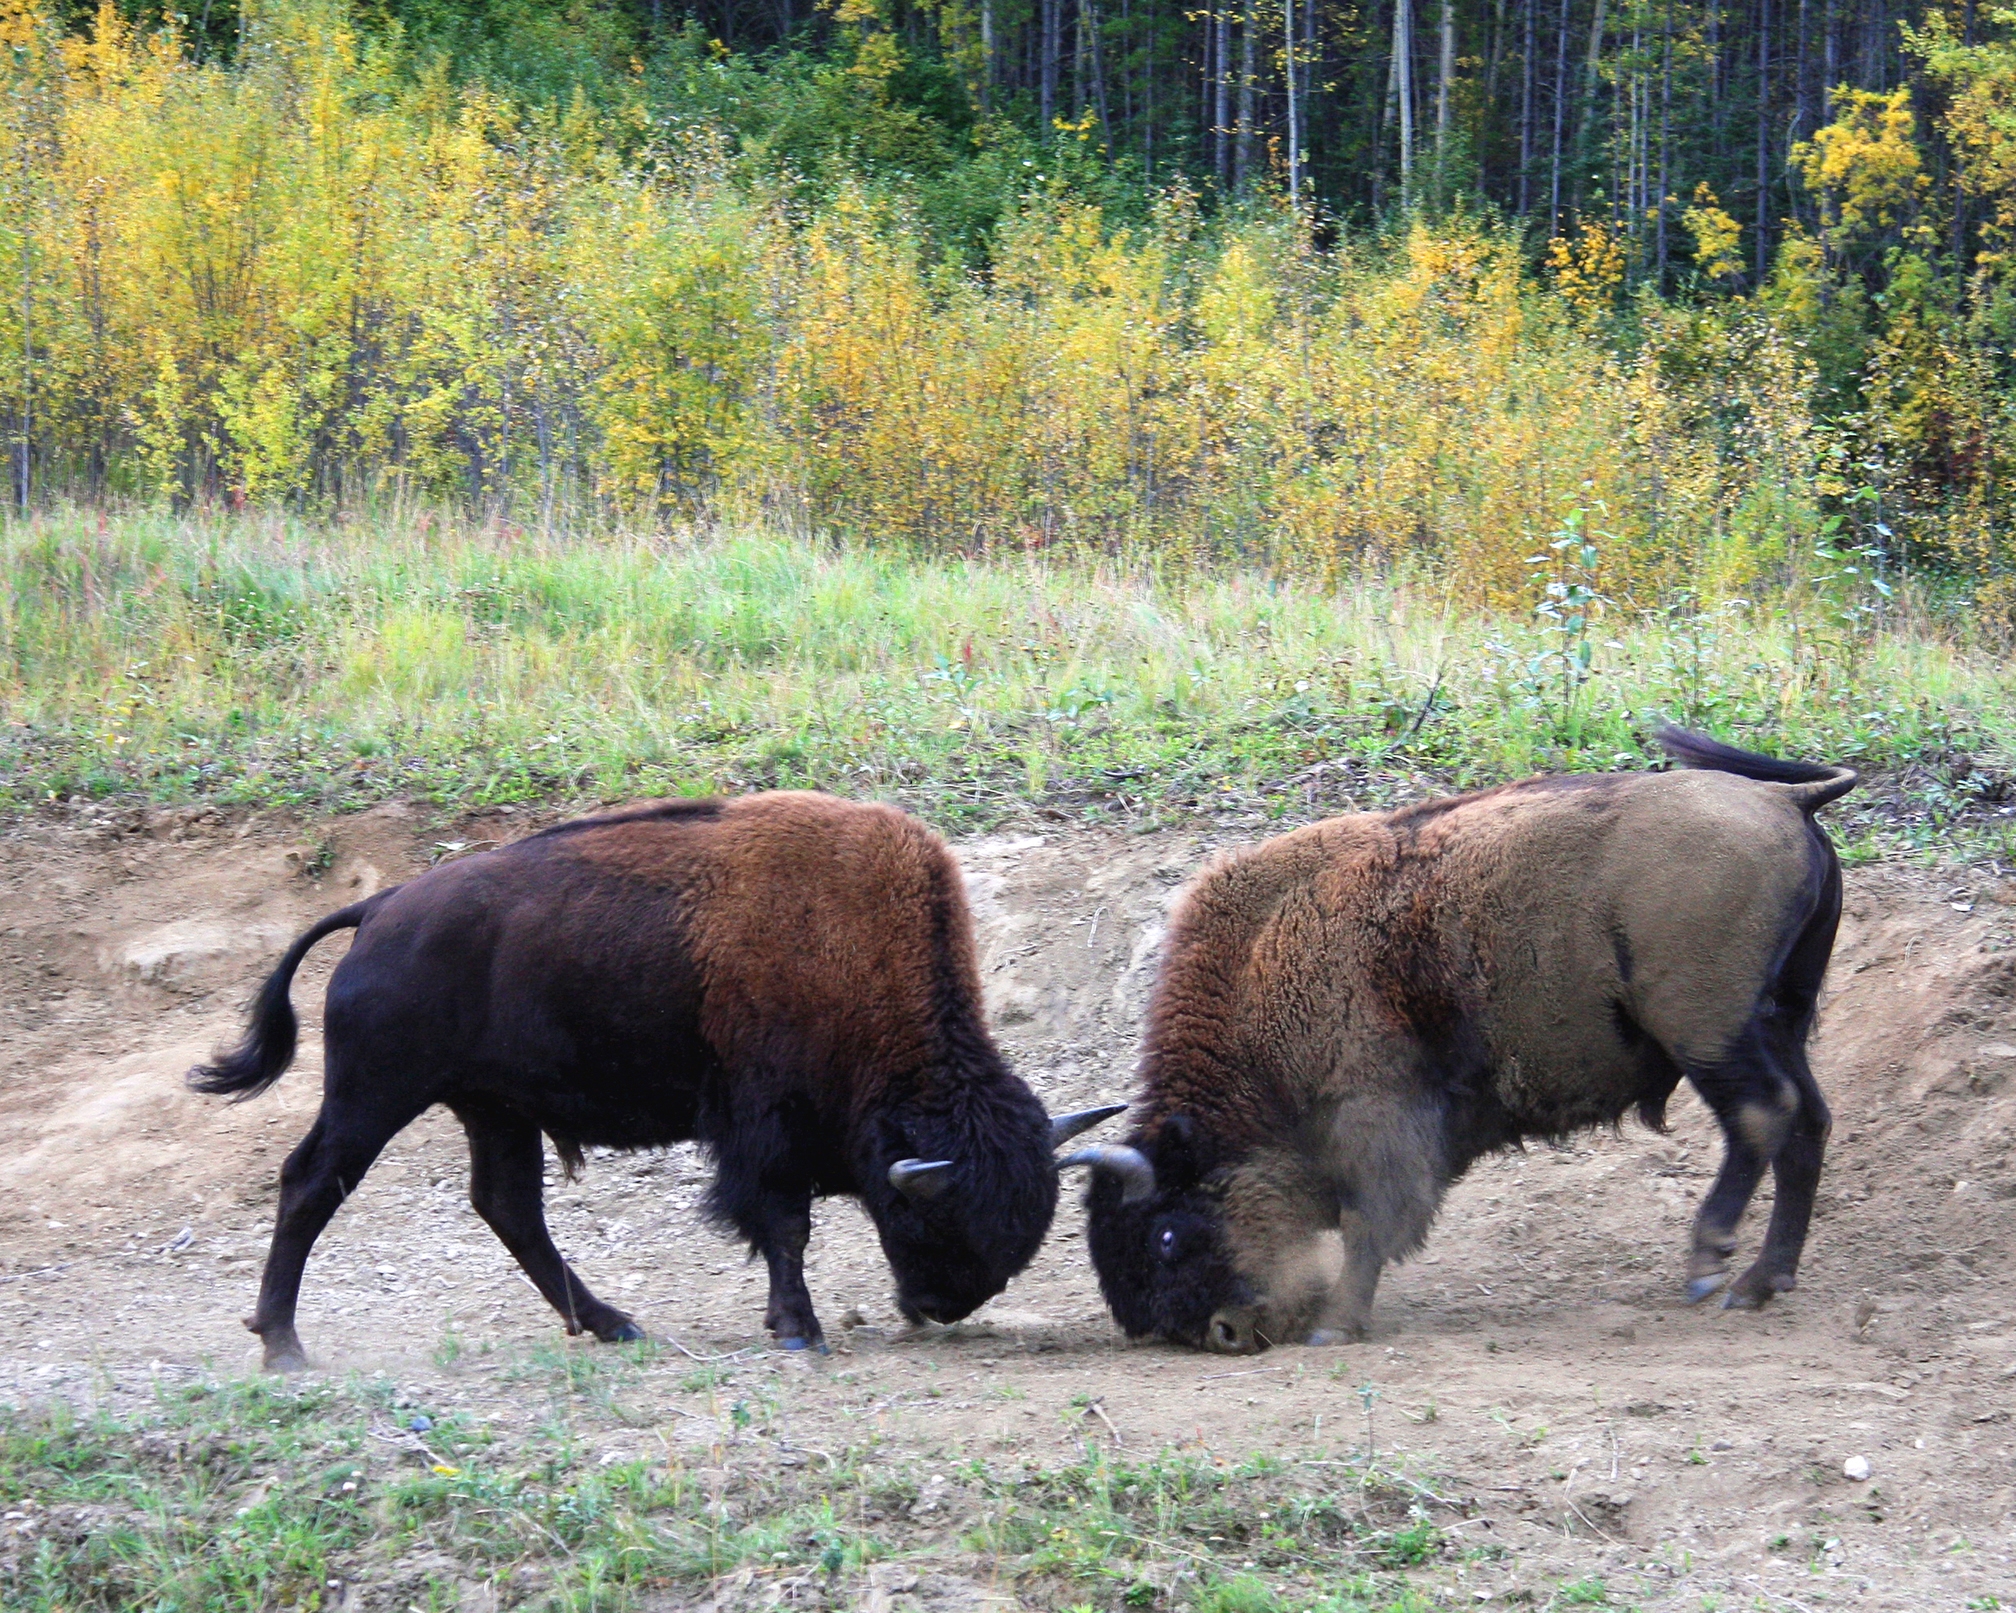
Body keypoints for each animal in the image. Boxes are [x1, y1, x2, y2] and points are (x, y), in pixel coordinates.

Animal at [193, 792, 1122, 1370]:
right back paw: (282, 1344)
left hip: (493, 1109)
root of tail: (380, 910)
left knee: (507, 1206)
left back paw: (613, 1324)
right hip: (376, 1093)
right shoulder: (763, 1133)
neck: (853, 958)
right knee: (311, 1182)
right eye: (927, 1216)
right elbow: (784, 1227)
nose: (945, 1304)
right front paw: (800, 1331)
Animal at [1074, 729, 1857, 1352]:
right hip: (1781, 1020)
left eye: (1165, 1235)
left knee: (1761, 1114)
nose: (1221, 1331)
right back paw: (1762, 1281)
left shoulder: (1374, 1114)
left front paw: (1334, 1326)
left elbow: (1370, 1220)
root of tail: (1789, 801)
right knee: (1808, 1122)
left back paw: (1709, 1266)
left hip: (1705, 1030)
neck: (1261, 963)